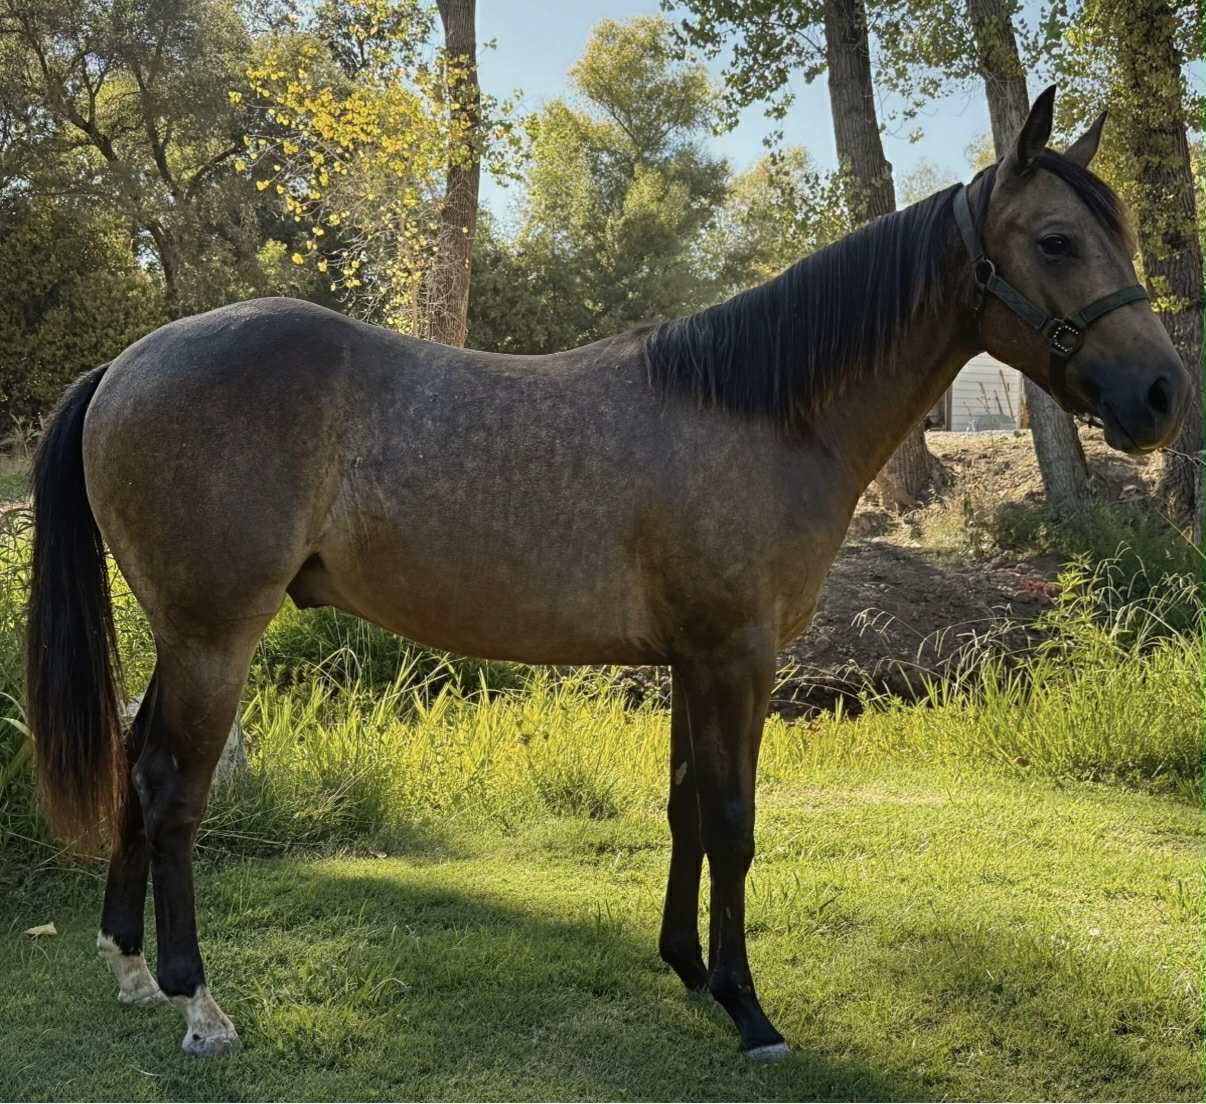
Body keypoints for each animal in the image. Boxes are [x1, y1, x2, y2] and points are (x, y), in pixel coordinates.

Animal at [26, 86, 1188, 1060]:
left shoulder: (688, 661)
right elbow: (734, 823)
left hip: (182, 638)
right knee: (173, 788)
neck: (762, 409)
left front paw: (689, 970)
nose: (1165, 395)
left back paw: (130, 968)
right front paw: (750, 1012)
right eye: (1056, 240)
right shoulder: (738, 659)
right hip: (216, 636)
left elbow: (684, 811)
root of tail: (124, 364)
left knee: (134, 762)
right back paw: (198, 1003)